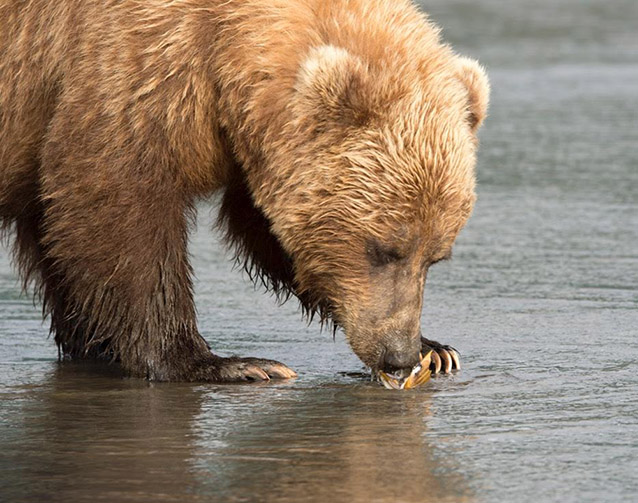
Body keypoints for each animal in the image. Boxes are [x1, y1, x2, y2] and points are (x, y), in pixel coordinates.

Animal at [0, 0, 490, 382]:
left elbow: (266, 226)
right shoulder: (129, 65)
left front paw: (437, 349)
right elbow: (115, 203)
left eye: (435, 257)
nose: (397, 356)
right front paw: (223, 363)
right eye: (383, 248)